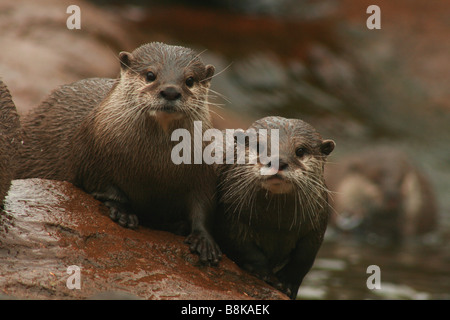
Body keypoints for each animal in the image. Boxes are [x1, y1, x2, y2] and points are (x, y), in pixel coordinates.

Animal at [15, 42, 221, 262]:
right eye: (150, 75)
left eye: (190, 80)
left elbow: (203, 206)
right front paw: (124, 212)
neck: (155, 167)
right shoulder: (93, 155)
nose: (171, 91)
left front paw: (204, 240)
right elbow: (104, 186)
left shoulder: (204, 173)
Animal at [214, 116, 334, 298]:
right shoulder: (230, 216)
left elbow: (303, 260)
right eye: (259, 146)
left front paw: (288, 284)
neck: (275, 226)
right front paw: (265, 275)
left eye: (300, 150)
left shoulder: (316, 228)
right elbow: (246, 249)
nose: (278, 161)